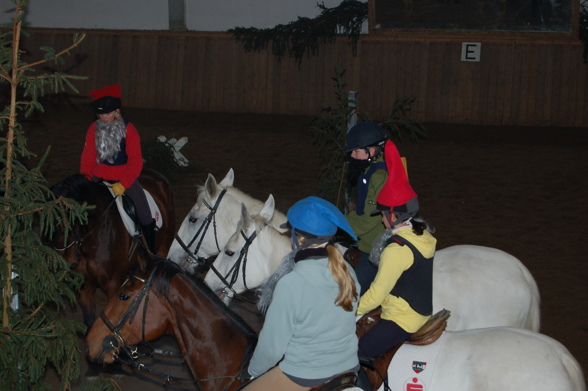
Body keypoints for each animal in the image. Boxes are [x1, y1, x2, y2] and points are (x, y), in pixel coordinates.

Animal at [51, 168, 175, 328]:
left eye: (73, 219)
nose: (68, 261)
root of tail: (158, 177)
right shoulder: (85, 285)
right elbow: (90, 323)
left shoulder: (112, 286)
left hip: (163, 246)